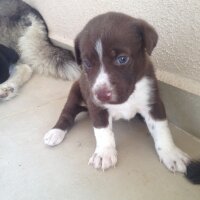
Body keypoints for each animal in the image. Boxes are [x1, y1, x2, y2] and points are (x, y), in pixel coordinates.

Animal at [43, 11, 189, 173]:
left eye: (122, 59)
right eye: (87, 63)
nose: (101, 95)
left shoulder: (153, 101)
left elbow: (161, 128)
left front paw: (171, 153)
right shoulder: (96, 106)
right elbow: (102, 131)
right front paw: (104, 153)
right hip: (75, 92)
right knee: (67, 112)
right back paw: (56, 132)